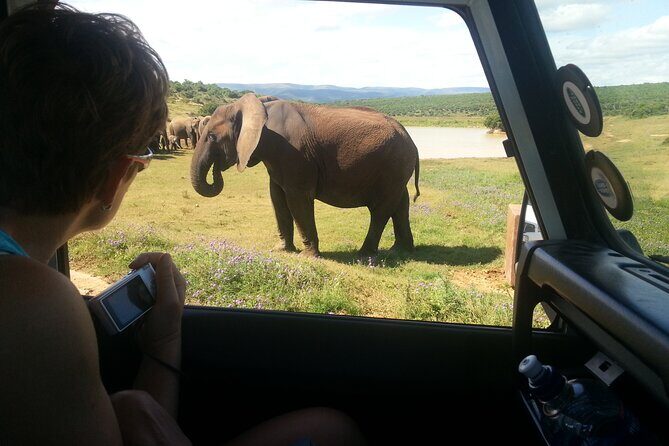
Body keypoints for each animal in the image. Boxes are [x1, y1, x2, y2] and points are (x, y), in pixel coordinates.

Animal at [191, 93, 420, 258]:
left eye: (212, 137)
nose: (217, 170)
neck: (257, 107)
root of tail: (412, 141)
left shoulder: (295, 155)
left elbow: (297, 200)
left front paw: (308, 256)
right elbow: (277, 199)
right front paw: (281, 250)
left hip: (394, 165)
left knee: (380, 210)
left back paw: (364, 254)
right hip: (397, 169)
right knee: (401, 204)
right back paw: (399, 251)